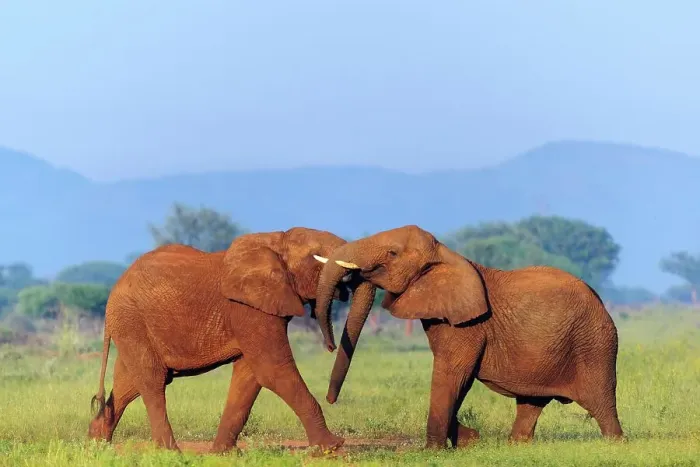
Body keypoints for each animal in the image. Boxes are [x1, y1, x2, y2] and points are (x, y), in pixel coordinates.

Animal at [87, 227, 376, 453]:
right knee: (152, 381)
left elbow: (250, 376)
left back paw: (96, 444)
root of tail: (114, 290)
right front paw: (332, 447)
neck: (276, 241)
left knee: (129, 383)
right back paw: (170, 452)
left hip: (133, 325)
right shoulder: (247, 309)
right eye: (316, 255)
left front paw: (223, 454)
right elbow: (273, 370)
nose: (330, 346)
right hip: (131, 319)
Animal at [313, 224, 624, 449]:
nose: (329, 346)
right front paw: (467, 439)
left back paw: (616, 443)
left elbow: (454, 373)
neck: (443, 253)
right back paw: (516, 445)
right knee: (530, 403)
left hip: (594, 342)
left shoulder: (469, 326)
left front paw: (434, 450)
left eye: (392, 253)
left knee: (600, 402)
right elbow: (457, 380)